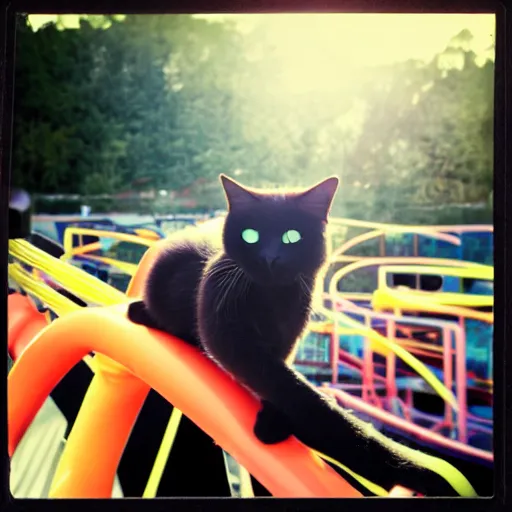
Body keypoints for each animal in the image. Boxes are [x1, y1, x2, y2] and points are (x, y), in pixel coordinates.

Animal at [129, 174, 476, 498]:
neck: (271, 299)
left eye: (292, 237)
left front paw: (274, 420)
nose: (270, 257)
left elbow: (282, 381)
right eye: (250, 235)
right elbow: (293, 392)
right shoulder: (229, 333)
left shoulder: (289, 335)